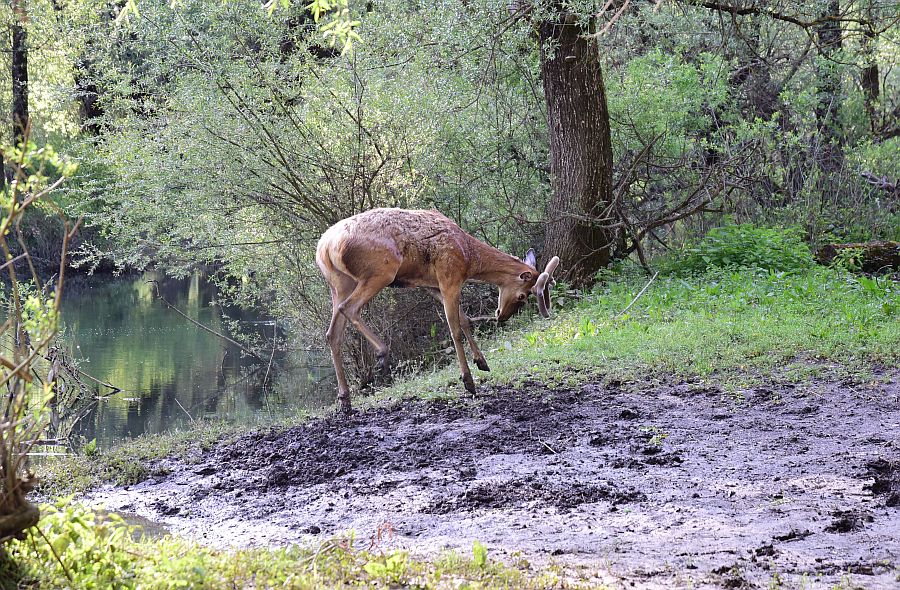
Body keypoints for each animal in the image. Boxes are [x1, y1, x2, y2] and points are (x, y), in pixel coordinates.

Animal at [312, 210, 560, 414]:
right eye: (522, 296)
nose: (502, 315)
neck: (469, 257)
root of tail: (325, 248)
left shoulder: (431, 285)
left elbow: (465, 320)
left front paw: (482, 362)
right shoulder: (449, 276)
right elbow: (455, 329)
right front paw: (468, 381)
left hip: (340, 283)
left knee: (332, 333)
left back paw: (345, 400)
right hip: (380, 271)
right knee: (349, 308)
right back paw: (382, 353)